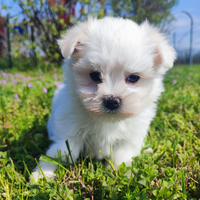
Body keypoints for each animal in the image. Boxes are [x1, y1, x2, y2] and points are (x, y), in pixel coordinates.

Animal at [30, 16, 175, 181]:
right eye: (94, 75)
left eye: (133, 78)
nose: (111, 101)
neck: (106, 120)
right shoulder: (69, 133)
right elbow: (60, 153)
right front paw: (42, 174)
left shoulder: (130, 139)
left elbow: (122, 157)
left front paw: (121, 176)